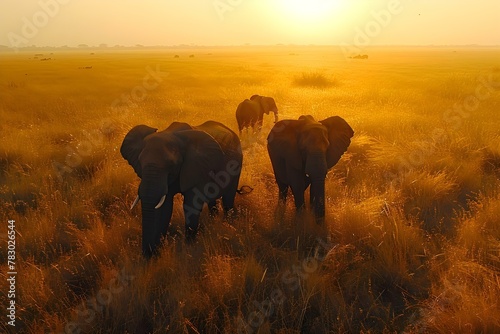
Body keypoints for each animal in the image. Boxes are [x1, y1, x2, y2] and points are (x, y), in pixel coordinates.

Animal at [121, 120, 242, 258]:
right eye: (140, 163)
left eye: (171, 164)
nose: (147, 256)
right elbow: (165, 207)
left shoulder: (196, 166)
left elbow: (191, 204)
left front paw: (189, 248)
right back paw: (214, 222)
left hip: (236, 164)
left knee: (228, 198)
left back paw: (227, 225)